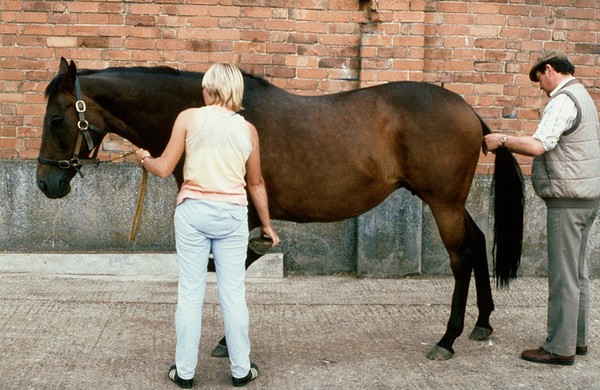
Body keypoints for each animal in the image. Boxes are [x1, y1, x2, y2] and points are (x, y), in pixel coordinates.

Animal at [38, 58, 524, 362]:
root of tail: (470, 113)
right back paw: (483, 323)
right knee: (479, 242)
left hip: (443, 203)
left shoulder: (245, 216)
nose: (46, 183)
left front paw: (226, 342)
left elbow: (232, 271)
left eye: (57, 119)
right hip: (451, 203)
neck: (217, 116)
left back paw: (448, 338)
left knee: (461, 258)